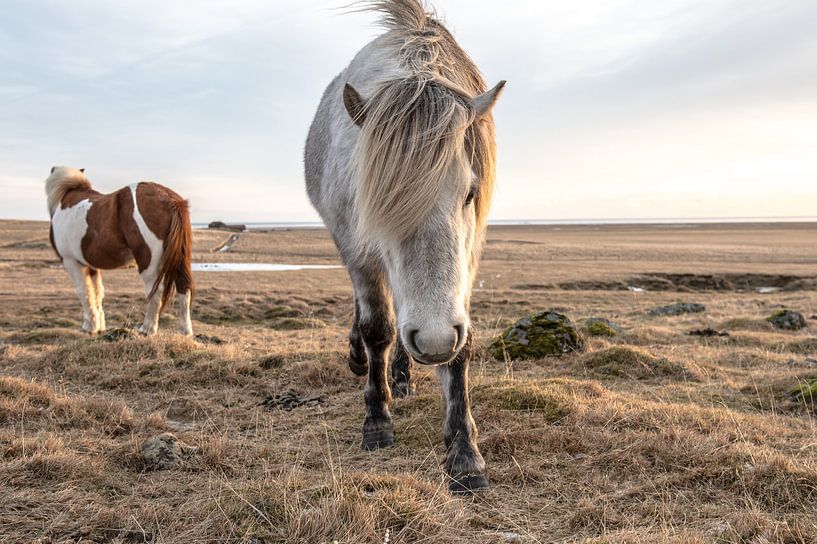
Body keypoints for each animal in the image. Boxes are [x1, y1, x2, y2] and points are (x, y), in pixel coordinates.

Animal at [46, 166, 194, 336]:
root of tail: (170, 199)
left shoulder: (72, 262)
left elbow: (84, 291)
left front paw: (89, 326)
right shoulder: (91, 266)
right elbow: (97, 291)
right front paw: (99, 326)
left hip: (148, 262)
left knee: (156, 291)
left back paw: (147, 329)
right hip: (180, 260)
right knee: (183, 288)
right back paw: (185, 331)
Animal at [302, 0, 500, 492]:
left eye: (470, 193)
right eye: (376, 198)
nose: (432, 340)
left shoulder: (468, 257)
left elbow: (461, 347)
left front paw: (464, 450)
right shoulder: (357, 249)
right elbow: (377, 328)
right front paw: (377, 420)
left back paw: (404, 376)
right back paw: (364, 361)